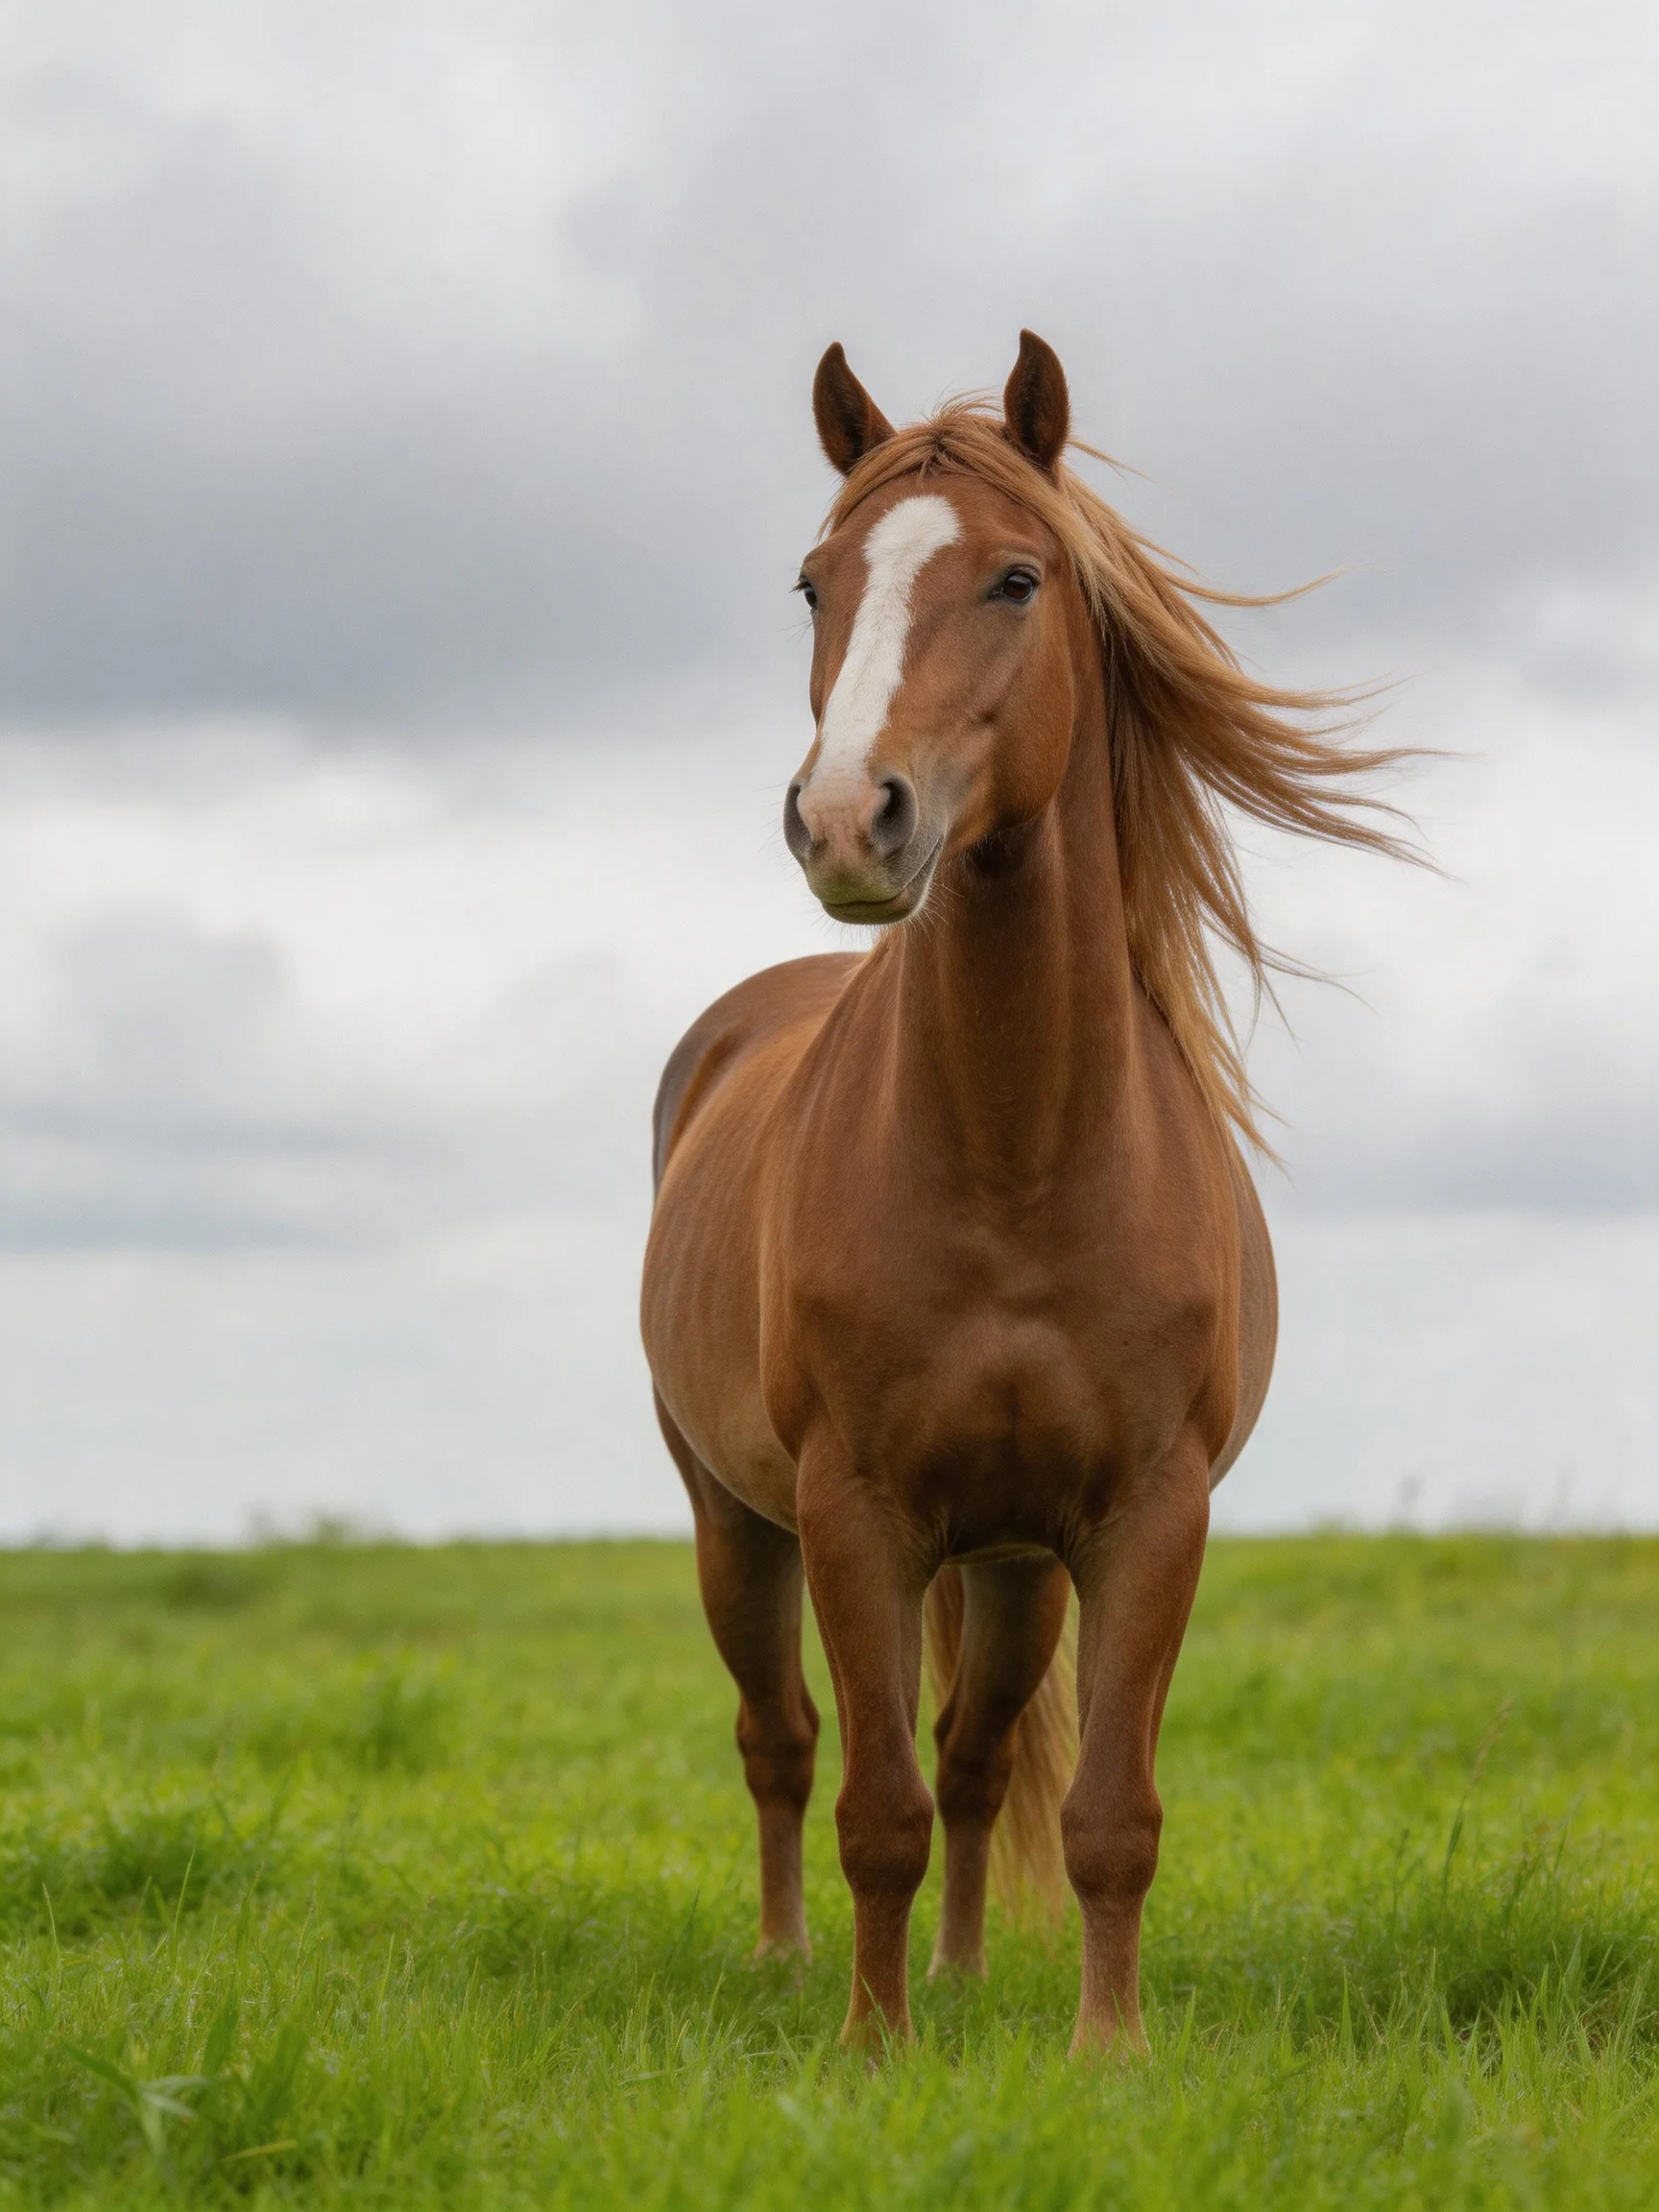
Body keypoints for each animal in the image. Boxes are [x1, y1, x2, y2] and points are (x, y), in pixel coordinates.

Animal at [641, 332, 1408, 2054]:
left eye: (1014, 577)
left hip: (1008, 1569)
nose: (846, 820)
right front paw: (870, 2051)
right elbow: (874, 1805)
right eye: (815, 584)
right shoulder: (852, 1510)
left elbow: (1103, 1809)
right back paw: (791, 1966)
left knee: (979, 1751)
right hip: (733, 1517)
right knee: (780, 1738)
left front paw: (1102, 2052)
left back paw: (968, 1974)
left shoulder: (1140, 1516)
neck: (1019, 1156)